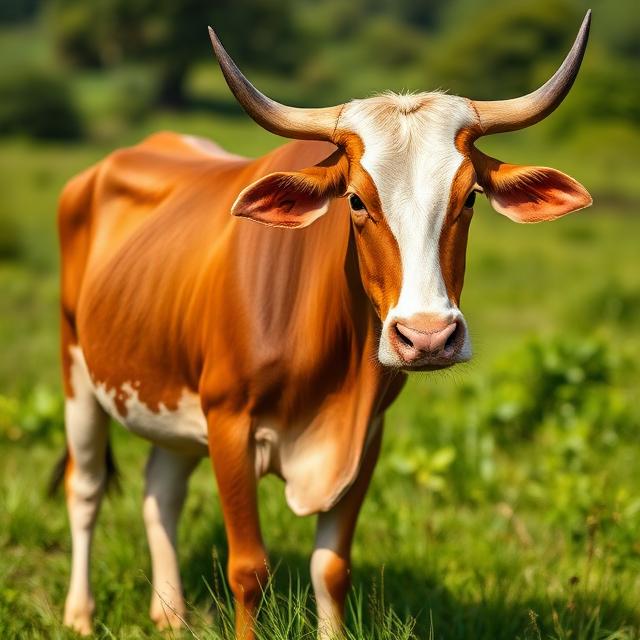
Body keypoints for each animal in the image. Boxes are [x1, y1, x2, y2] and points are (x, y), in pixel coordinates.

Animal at [56, 11, 592, 639]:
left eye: (470, 199)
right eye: (356, 200)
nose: (428, 337)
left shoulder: (366, 434)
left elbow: (331, 568)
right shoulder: (229, 424)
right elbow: (248, 570)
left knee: (159, 491)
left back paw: (168, 614)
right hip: (78, 377)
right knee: (86, 489)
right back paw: (80, 613)